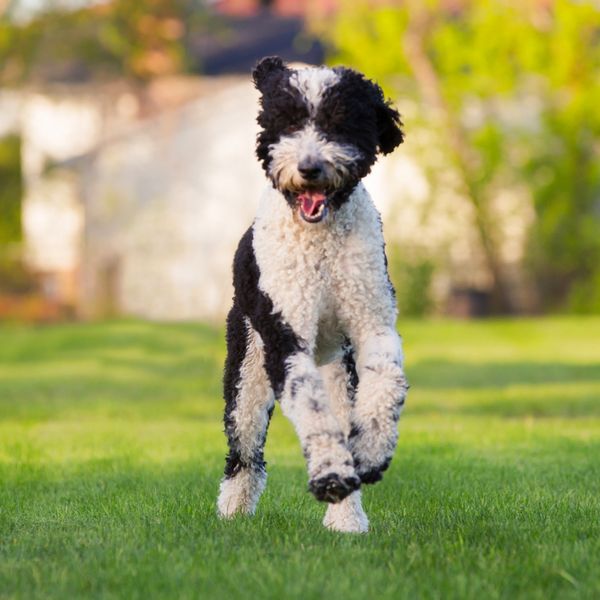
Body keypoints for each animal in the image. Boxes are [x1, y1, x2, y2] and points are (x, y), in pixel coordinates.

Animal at [216, 57, 408, 536]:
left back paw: (347, 518)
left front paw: (371, 452)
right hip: (247, 372)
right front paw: (330, 475)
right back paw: (233, 511)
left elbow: (387, 379)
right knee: (244, 452)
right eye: (287, 121)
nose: (309, 167)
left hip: (338, 369)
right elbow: (309, 407)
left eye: (340, 123)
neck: (321, 243)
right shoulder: (286, 338)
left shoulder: (372, 323)